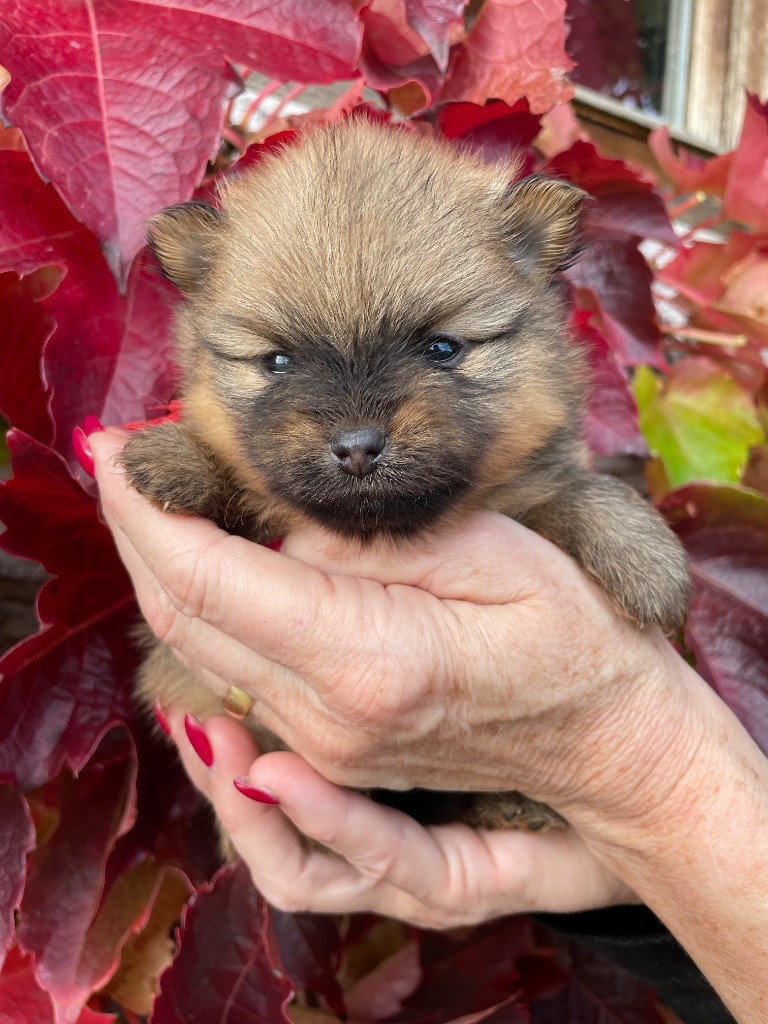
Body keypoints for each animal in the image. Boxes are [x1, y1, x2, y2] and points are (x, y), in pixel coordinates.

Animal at [121, 117, 692, 839]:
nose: (357, 448)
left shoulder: (535, 490)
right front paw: (176, 458)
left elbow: (585, 494)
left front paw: (648, 565)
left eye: (442, 349)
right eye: (277, 362)